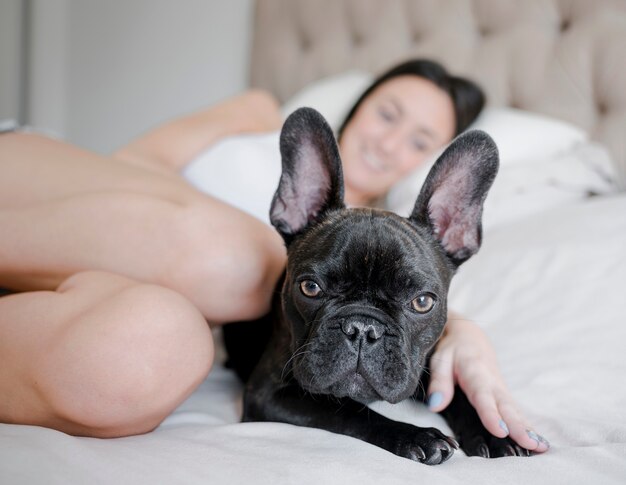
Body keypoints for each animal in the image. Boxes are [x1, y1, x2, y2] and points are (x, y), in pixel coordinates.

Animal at [223, 108, 528, 464]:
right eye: (310, 288)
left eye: (422, 302)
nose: (362, 328)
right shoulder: (266, 394)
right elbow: (347, 408)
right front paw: (417, 436)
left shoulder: (422, 364)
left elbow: (459, 392)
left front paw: (494, 433)